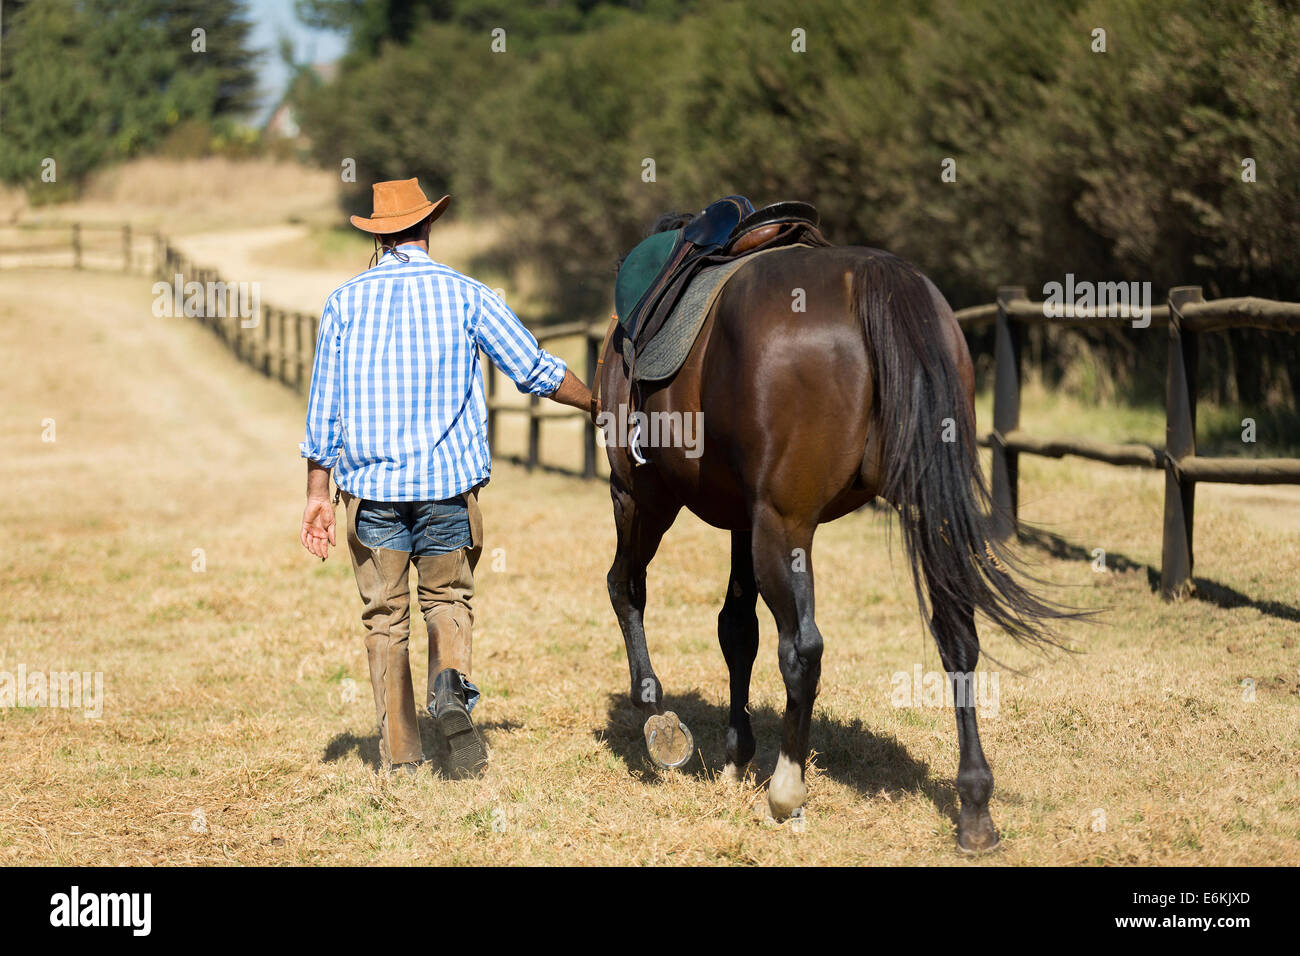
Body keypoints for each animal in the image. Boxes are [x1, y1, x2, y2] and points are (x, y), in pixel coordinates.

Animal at [596, 218, 1073, 852]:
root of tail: (872, 278)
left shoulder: (648, 497)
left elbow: (636, 592)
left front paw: (661, 720)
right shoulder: (744, 517)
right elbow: (736, 629)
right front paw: (735, 756)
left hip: (761, 522)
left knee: (797, 646)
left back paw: (786, 789)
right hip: (920, 516)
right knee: (957, 636)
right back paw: (975, 807)